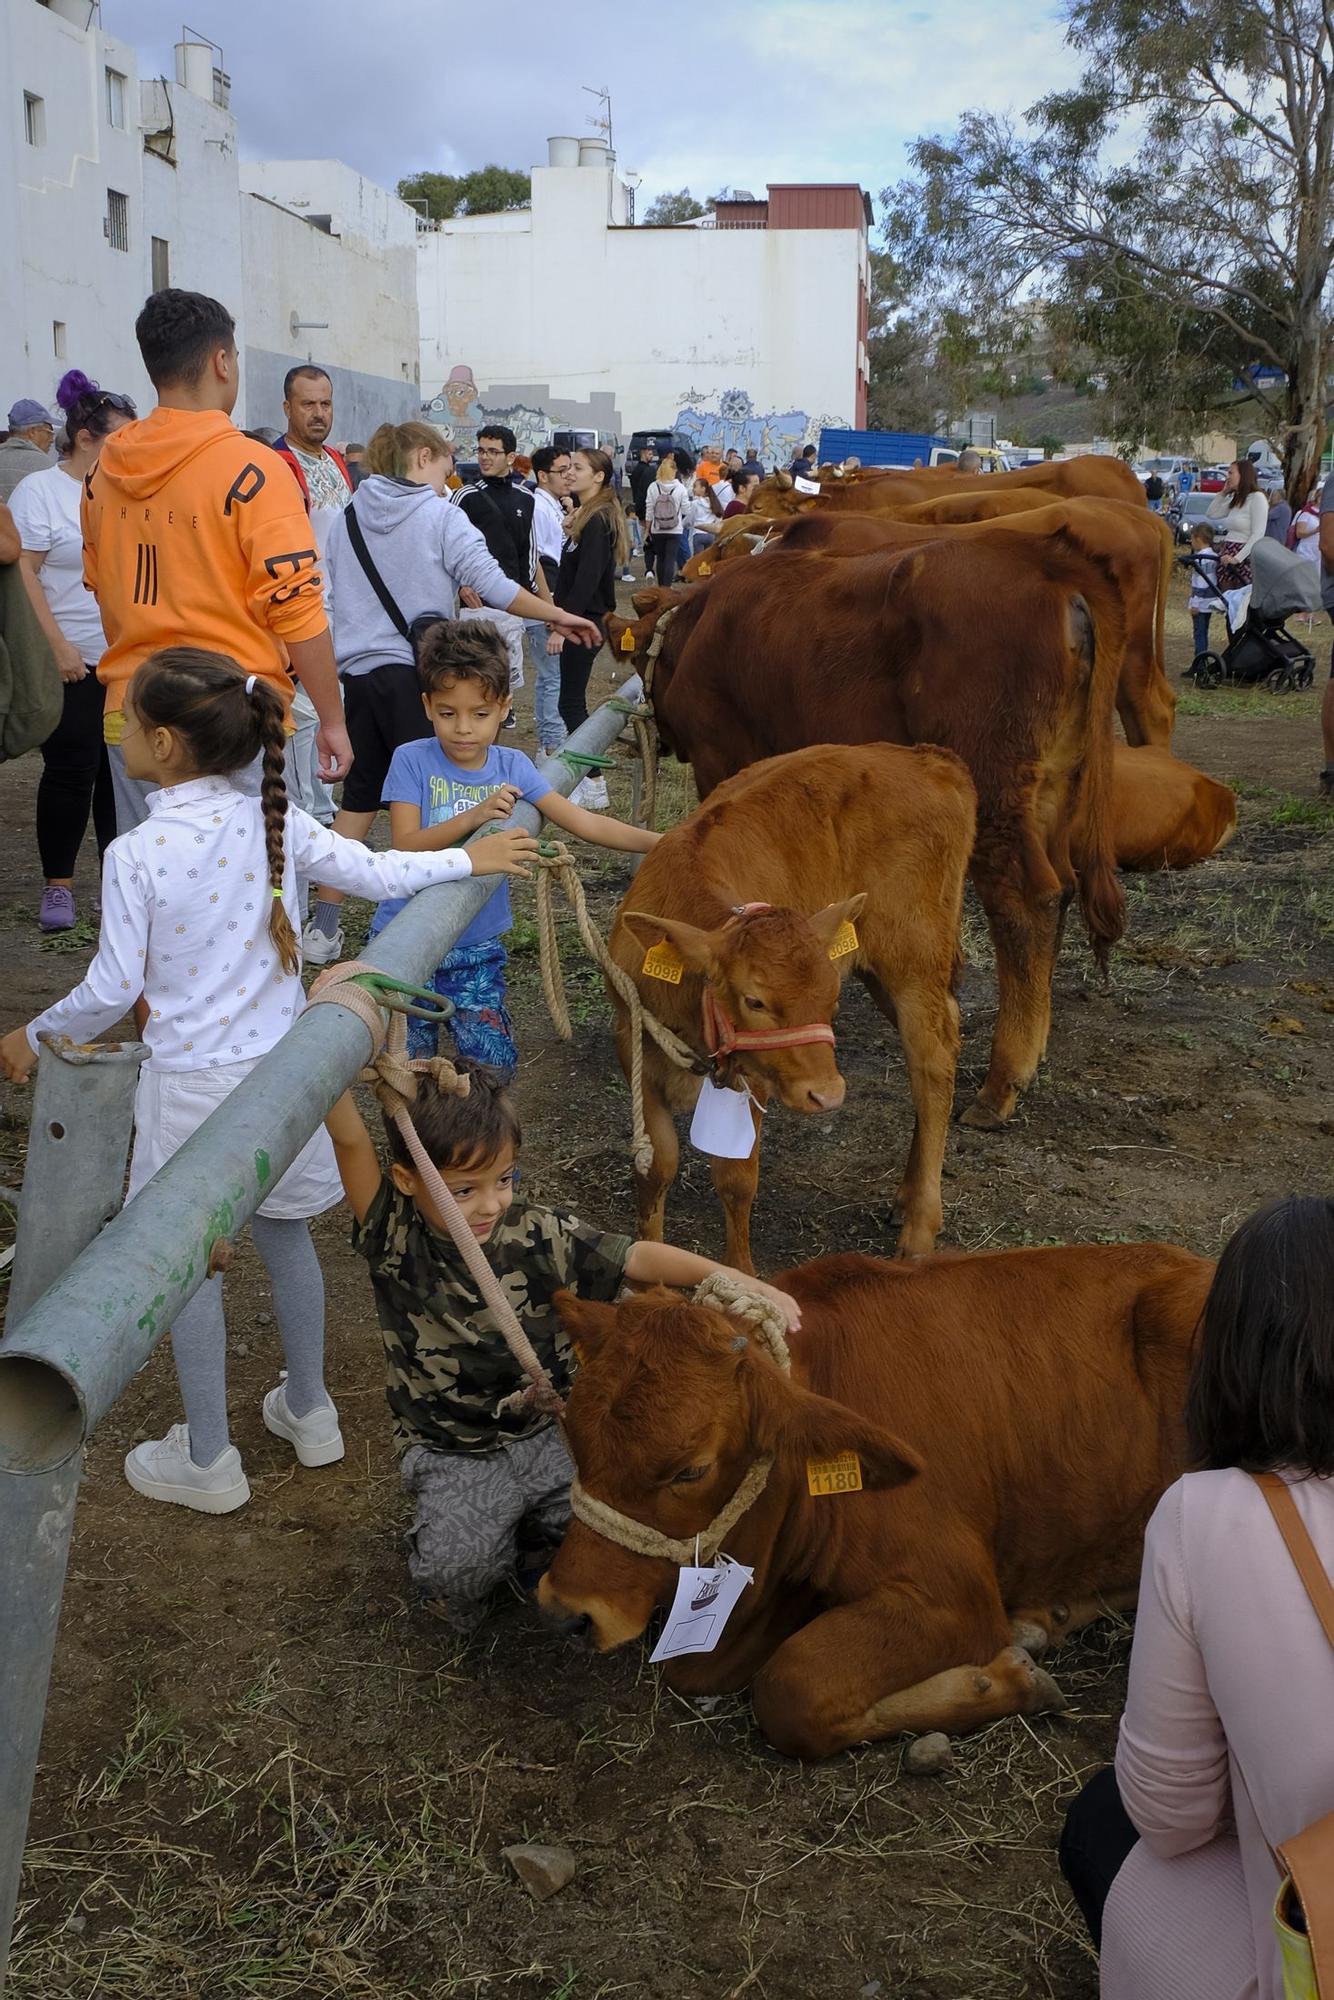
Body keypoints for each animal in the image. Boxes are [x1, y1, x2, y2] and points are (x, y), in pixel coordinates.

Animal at [540, 1240, 1208, 1760]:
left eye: (691, 1470)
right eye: (572, 1434)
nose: (566, 1610)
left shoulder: (957, 1597)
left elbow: (793, 1687)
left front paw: (1000, 1682)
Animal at [612, 532, 1128, 1128]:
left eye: (637, 657)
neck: (704, 624)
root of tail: (1048, 559)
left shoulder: (720, 758)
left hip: (997, 788)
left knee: (1028, 901)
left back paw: (1002, 1082)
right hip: (1052, 785)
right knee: (1062, 887)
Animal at [612, 744, 976, 1272]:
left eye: (832, 999)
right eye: (755, 1000)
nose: (827, 1094)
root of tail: (928, 758)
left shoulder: (757, 1072)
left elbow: (736, 1178)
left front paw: (741, 1273)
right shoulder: (634, 1047)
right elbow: (656, 1166)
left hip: (915, 958)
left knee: (932, 1064)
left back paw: (920, 1226)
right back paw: (906, 1198)